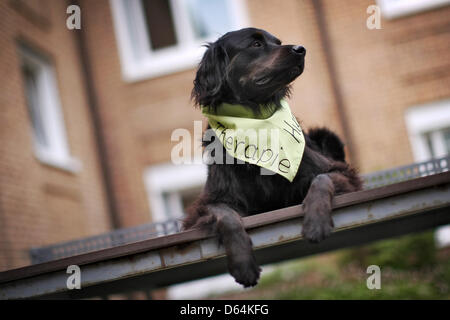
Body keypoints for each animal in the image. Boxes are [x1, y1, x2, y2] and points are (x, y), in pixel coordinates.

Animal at [183, 27, 362, 288]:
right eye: (256, 44)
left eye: (277, 42)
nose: (301, 49)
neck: (256, 123)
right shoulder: (206, 204)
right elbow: (225, 214)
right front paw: (243, 264)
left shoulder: (341, 173)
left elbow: (322, 179)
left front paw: (316, 222)